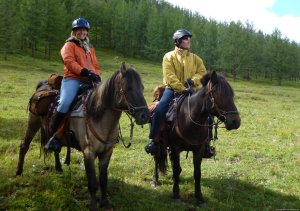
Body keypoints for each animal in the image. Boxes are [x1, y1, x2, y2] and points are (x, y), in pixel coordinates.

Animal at [15, 61, 149, 210]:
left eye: (142, 88)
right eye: (128, 88)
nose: (145, 116)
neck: (96, 115)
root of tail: (43, 86)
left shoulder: (107, 152)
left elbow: (103, 180)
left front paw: (104, 203)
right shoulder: (88, 153)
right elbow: (93, 183)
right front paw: (93, 206)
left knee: (56, 150)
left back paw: (58, 168)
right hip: (32, 124)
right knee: (24, 147)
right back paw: (19, 172)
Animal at [151, 71, 240, 208]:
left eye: (231, 95)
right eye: (218, 94)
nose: (236, 122)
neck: (189, 118)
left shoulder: (199, 150)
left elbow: (197, 173)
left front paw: (199, 198)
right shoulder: (175, 148)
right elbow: (176, 169)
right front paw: (176, 194)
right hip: (158, 142)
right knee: (156, 157)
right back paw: (155, 180)